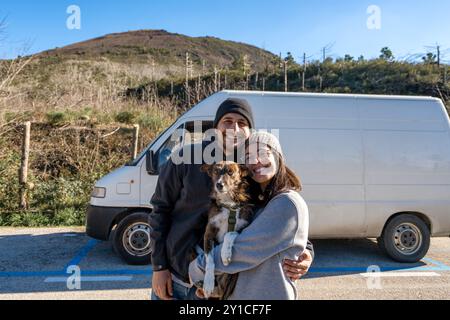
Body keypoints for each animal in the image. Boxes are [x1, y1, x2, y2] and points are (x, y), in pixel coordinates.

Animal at [195, 161, 255, 298]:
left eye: (230, 172)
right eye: (215, 171)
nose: (219, 185)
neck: (228, 205)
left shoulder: (245, 227)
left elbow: (229, 234)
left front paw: (225, 254)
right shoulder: (208, 234)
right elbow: (209, 260)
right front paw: (208, 282)